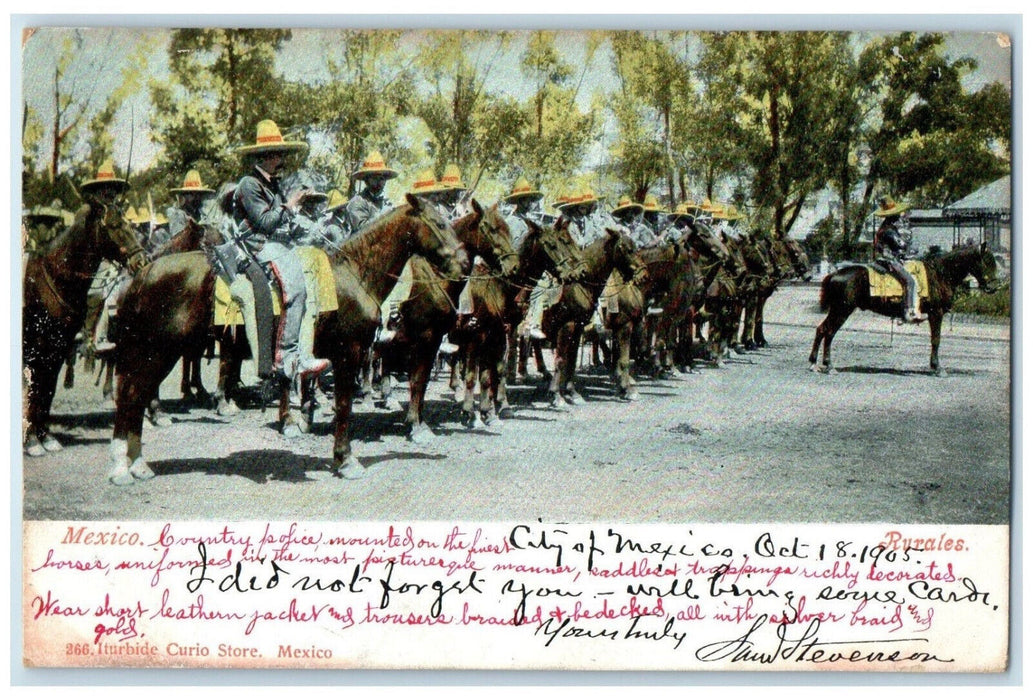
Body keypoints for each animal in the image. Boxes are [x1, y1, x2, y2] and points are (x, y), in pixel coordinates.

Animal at [23, 203, 147, 458]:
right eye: (114, 225)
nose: (141, 260)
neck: (53, 280)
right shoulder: (37, 348)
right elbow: (35, 389)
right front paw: (32, 442)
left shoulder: (58, 348)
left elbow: (47, 390)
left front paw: (46, 438)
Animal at [108, 195, 464, 485]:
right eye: (440, 223)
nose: (462, 263)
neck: (354, 272)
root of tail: (143, 274)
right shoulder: (349, 354)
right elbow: (344, 406)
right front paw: (346, 460)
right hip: (157, 350)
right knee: (132, 395)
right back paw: (121, 469)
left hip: (154, 352)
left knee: (134, 397)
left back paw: (137, 464)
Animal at [805, 246, 999, 377]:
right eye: (987, 262)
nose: (993, 287)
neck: (940, 274)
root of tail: (834, 274)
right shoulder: (936, 313)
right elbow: (936, 340)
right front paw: (937, 368)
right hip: (842, 310)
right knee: (829, 332)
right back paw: (829, 365)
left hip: (837, 310)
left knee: (821, 330)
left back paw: (814, 364)